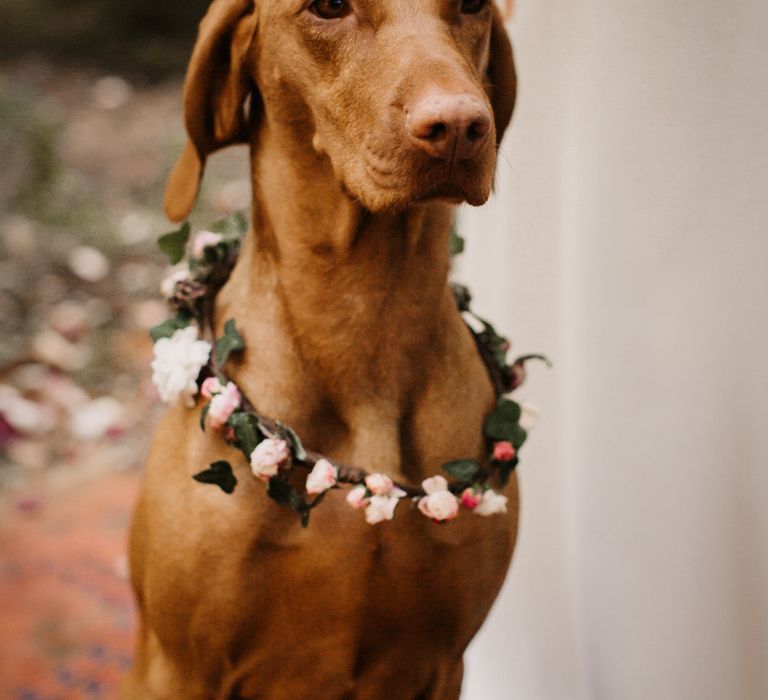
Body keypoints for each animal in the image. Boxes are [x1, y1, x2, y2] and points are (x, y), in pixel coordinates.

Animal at [124, 0, 516, 696]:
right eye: (330, 6)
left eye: (473, 5)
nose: (459, 126)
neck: (364, 319)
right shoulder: (180, 667)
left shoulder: (447, 659)